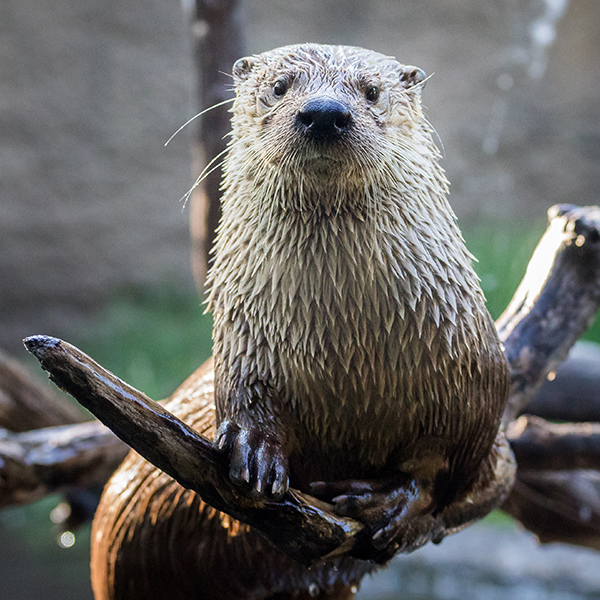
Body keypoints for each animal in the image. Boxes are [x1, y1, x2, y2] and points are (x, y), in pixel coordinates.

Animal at [91, 45, 512, 600]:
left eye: (371, 91)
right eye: (280, 86)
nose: (325, 112)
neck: (349, 357)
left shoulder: (473, 385)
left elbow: (446, 469)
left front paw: (393, 502)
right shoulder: (244, 341)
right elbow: (247, 397)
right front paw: (254, 450)